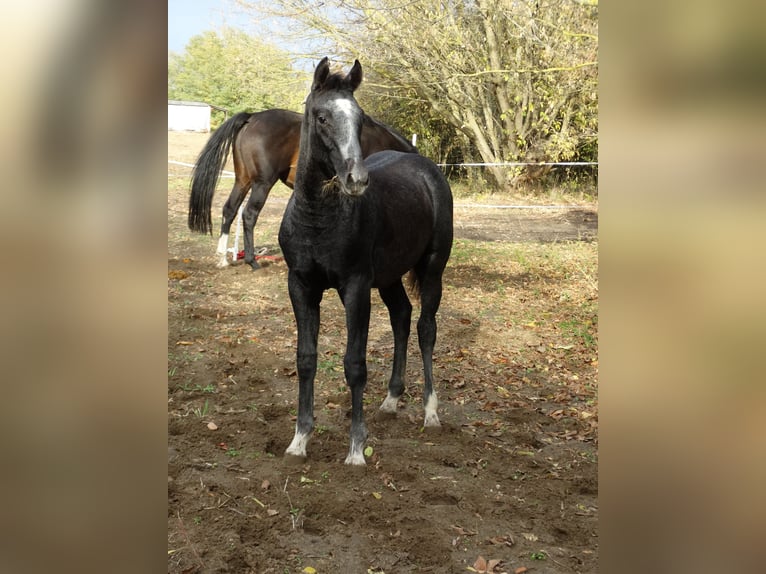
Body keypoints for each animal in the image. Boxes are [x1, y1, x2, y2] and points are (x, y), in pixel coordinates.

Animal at [187, 108, 417, 269]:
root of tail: (252, 117)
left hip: (242, 180)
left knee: (230, 209)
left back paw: (223, 258)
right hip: (262, 183)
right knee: (249, 214)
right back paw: (252, 260)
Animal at [278, 58, 453, 465]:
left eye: (360, 119)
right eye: (322, 117)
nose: (356, 179)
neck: (319, 219)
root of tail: (425, 167)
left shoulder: (355, 287)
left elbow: (354, 364)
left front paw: (357, 448)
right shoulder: (300, 285)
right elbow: (305, 359)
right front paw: (299, 439)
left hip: (432, 269)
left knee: (426, 328)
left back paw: (431, 411)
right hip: (389, 277)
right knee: (402, 316)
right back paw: (390, 400)